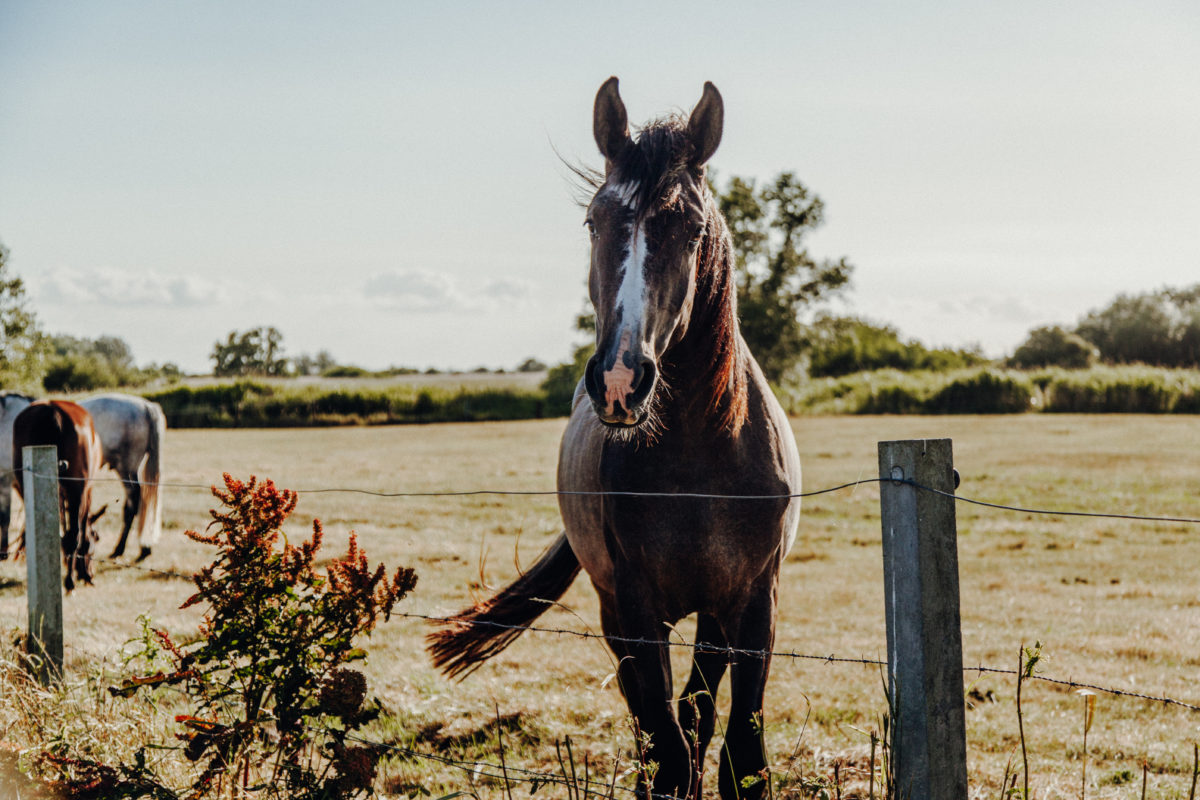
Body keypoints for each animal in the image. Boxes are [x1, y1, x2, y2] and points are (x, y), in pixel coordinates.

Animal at [12, 398, 108, 592]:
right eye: (96, 538)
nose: (91, 572)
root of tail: (51, 410)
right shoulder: (86, 493)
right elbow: (81, 531)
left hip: (24, 485)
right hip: (77, 488)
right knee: (74, 535)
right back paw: (69, 581)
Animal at [427, 76, 801, 800]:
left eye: (690, 228)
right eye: (593, 222)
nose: (621, 379)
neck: (698, 462)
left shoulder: (753, 607)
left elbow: (738, 754)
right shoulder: (635, 608)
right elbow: (667, 753)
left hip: (711, 619)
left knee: (697, 712)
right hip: (616, 615)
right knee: (655, 726)